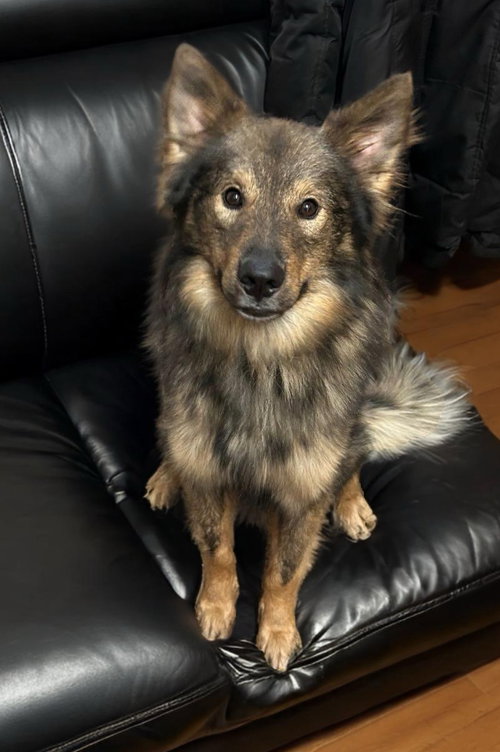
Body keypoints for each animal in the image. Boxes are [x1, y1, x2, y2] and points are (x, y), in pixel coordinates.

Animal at [144, 44, 468, 672]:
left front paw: (276, 633)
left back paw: (353, 503)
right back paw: (166, 475)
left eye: (310, 208)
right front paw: (215, 608)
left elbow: (283, 572)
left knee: (353, 456)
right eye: (232, 197)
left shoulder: (299, 498)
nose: (259, 279)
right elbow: (218, 549)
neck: (258, 359)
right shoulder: (209, 471)